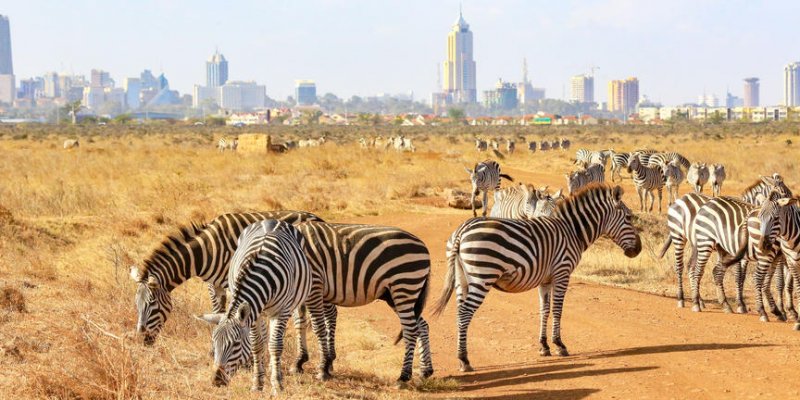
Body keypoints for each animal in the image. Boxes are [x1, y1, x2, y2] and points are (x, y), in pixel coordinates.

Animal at [128, 211, 322, 346]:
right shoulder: (214, 285)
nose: (143, 340)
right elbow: (217, 312)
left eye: (152, 304)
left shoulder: (229, 283)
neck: (205, 251)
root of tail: (316, 217)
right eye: (137, 304)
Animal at [198, 219, 312, 394]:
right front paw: (257, 383)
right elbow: (256, 345)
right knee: (265, 338)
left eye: (235, 344)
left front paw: (277, 384)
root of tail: (272, 220)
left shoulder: (281, 311)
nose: (216, 381)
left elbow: (275, 346)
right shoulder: (253, 313)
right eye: (214, 342)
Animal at [292, 223, 434, 386]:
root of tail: (423, 246)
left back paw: (403, 376)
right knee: (421, 325)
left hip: (404, 285)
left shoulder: (314, 285)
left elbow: (318, 327)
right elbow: (299, 323)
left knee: (411, 329)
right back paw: (425, 371)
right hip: (397, 294)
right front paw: (299, 362)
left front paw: (322, 369)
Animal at [432, 186, 644, 370]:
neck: (572, 231)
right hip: (482, 276)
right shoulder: (562, 273)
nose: (638, 250)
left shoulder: (545, 280)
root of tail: (462, 230)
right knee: (465, 312)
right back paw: (464, 360)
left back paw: (461, 357)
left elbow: (544, 311)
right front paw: (559, 345)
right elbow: (557, 311)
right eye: (628, 217)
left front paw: (544, 346)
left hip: (462, 279)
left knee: (459, 312)